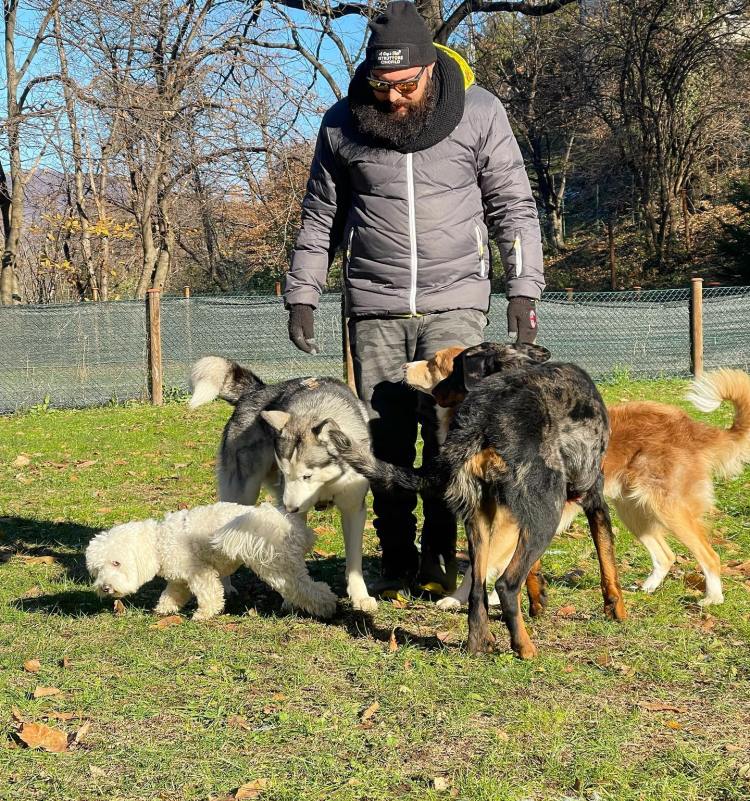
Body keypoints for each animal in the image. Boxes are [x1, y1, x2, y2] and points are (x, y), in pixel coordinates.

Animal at [86, 502, 337, 619]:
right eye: (97, 570)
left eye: (116, 563)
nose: (105, 588)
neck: (160, 541)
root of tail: (285, 521)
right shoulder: (179, 578)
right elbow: (172, 593)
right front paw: (164, 608)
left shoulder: (199, 571)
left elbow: (210, 593)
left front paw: (204, 613)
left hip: (275, 566)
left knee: (311, 588)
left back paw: (327, 608)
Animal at [189, 356, 377, 612]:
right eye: (285, 474)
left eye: (307, 476)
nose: (288, 508)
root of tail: (256, 390)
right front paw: (294, 597)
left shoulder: (353, 509)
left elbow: (354, 560)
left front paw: (360, 596)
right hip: (242, 493)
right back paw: (225, 587)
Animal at [324, 342, 626, 658]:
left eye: (449, 368)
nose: (405, 369)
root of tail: (484, 413)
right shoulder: (593, 500)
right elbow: (607, 560)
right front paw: (616, 610)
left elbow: (531, 568)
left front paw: (538, 600)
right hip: (547, 515)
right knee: (506, 584)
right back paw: (524, 647)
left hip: (480, 518)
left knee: (477, 589)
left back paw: (478, 643)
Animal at [406, 347, 750, 607]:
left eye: (436, 363)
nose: (405, 365)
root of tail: (690, 426)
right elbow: (491, 563)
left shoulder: (511, 522)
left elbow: (487, 564)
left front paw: (465, 599)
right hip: (633, 510)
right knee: (665, 555)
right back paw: (647, 588)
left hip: (668, 508)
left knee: (709, 555)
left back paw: (712, 598)